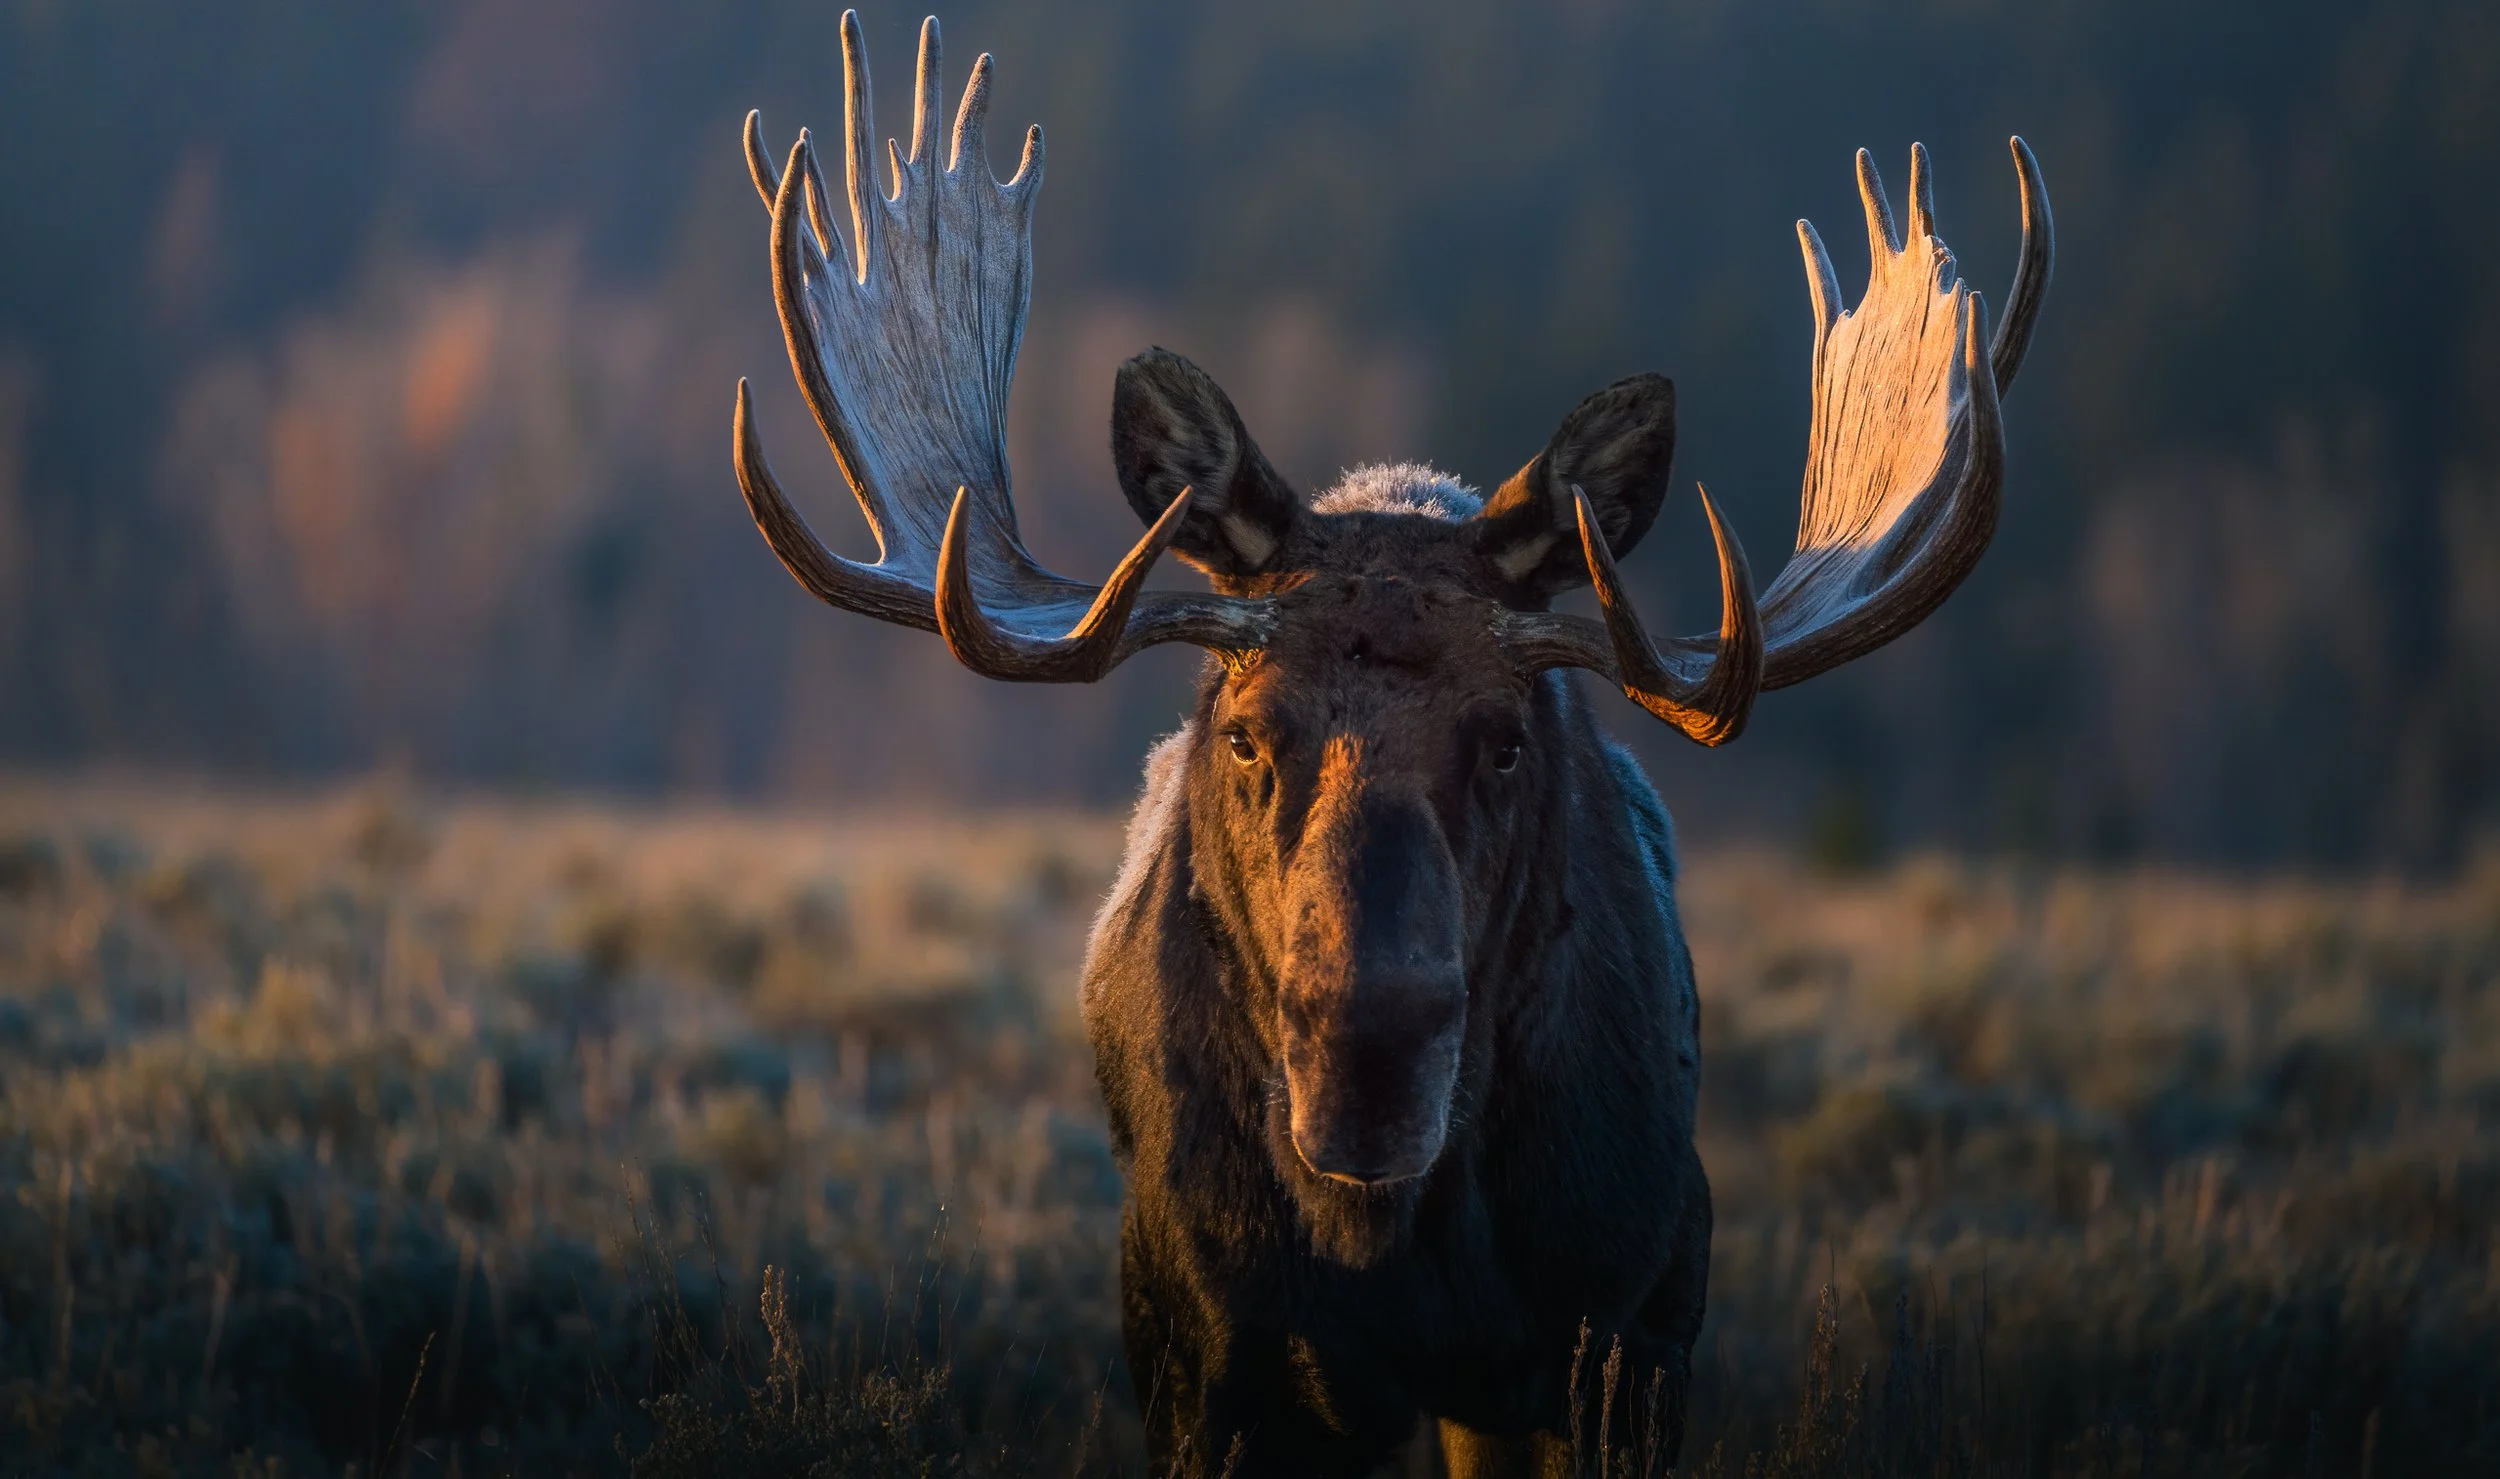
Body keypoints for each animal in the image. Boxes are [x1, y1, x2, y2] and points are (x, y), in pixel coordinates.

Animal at [729, 13, 2051, 1475]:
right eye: (1246, 733)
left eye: (1509, 742)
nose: (1367, 1067)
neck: (1393, 1239)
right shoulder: (1200, 1351)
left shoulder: (1634, 1320)